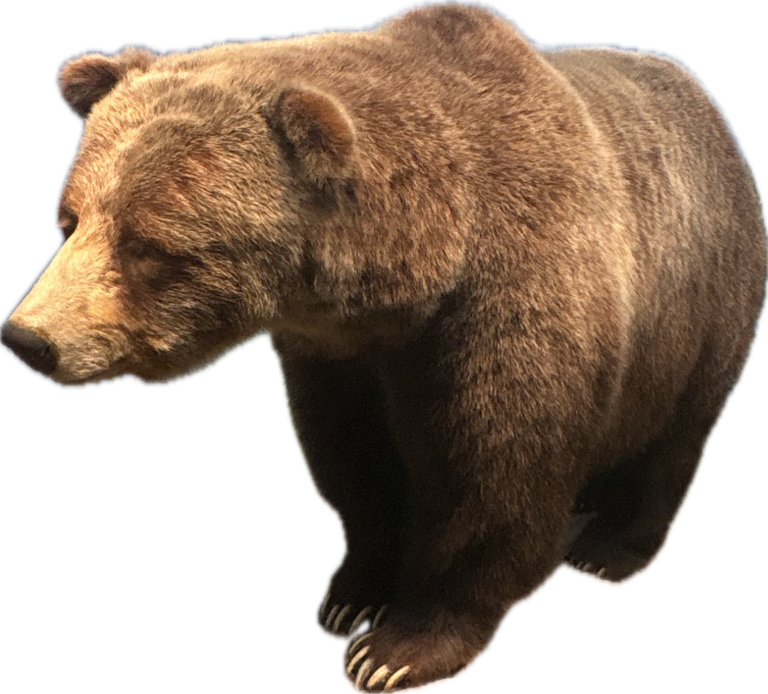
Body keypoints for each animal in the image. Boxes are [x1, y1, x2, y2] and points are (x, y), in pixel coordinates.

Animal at [1, 1, 766, 692]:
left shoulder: (507, 301)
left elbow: (492, 470)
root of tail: (705, 98)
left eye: (148, 246)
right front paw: (352, 596)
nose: (29, 338)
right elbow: (356, 459)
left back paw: (613, 550)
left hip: (702, 299)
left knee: (678, 435)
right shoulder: (339, 356)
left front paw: (398, 649)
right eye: (71, 219)